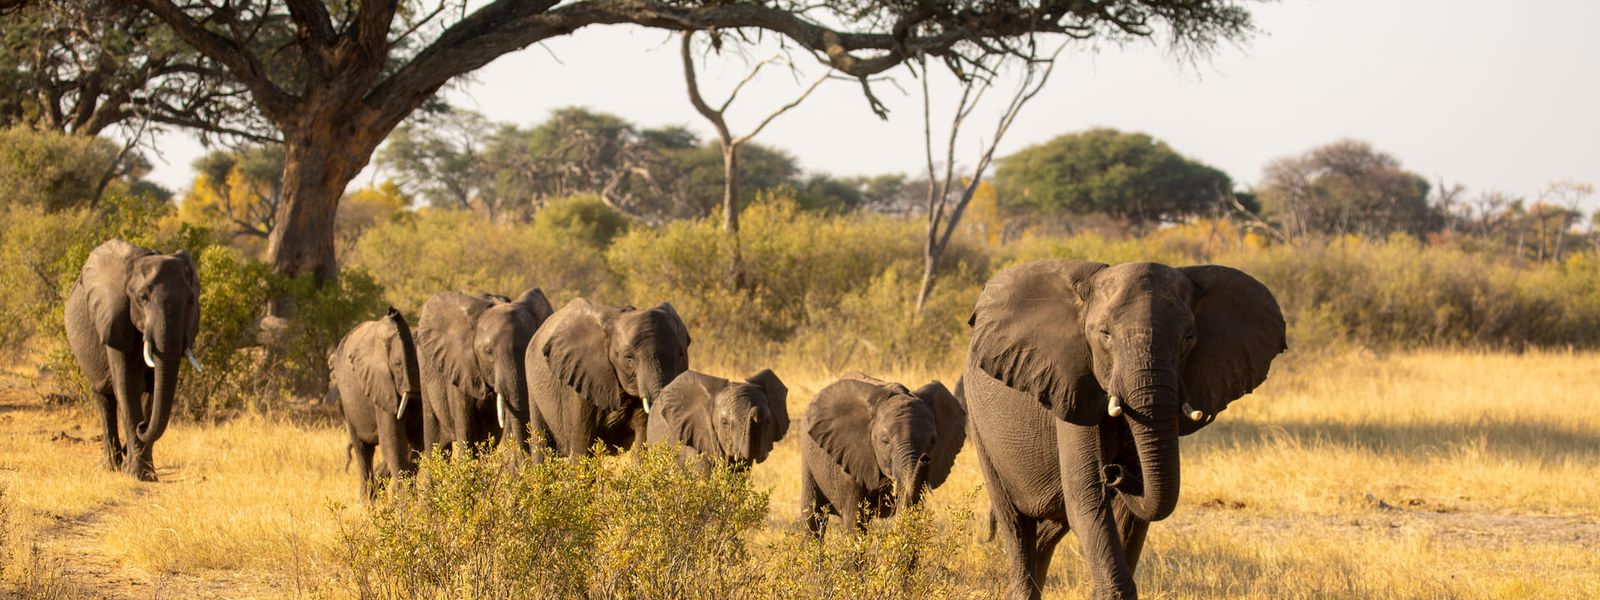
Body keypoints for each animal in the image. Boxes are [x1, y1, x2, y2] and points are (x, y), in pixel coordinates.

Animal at [64, 239, 200, 481]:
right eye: (142, 298)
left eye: (190, 301)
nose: (143, 427)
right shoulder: (114, 318)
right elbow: (127, 384)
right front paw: (137, 474)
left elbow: (153, 389)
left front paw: (144, 472)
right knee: (105, 399)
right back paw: (110, 466)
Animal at [329, 307, 423, 498]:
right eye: (398, 364)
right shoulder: (380, 385)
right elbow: (393, 442)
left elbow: (416, 444)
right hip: (347, 402)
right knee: (363, 450)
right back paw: (366, 502)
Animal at [963, 259, 1285, 600]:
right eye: (1105, 334)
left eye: (1189, 337)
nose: (1115, 472)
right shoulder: (1073, 385)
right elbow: (1087, 496)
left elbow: (1131, 513)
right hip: (979, 424)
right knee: (1015, 522)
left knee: (1051, 525)